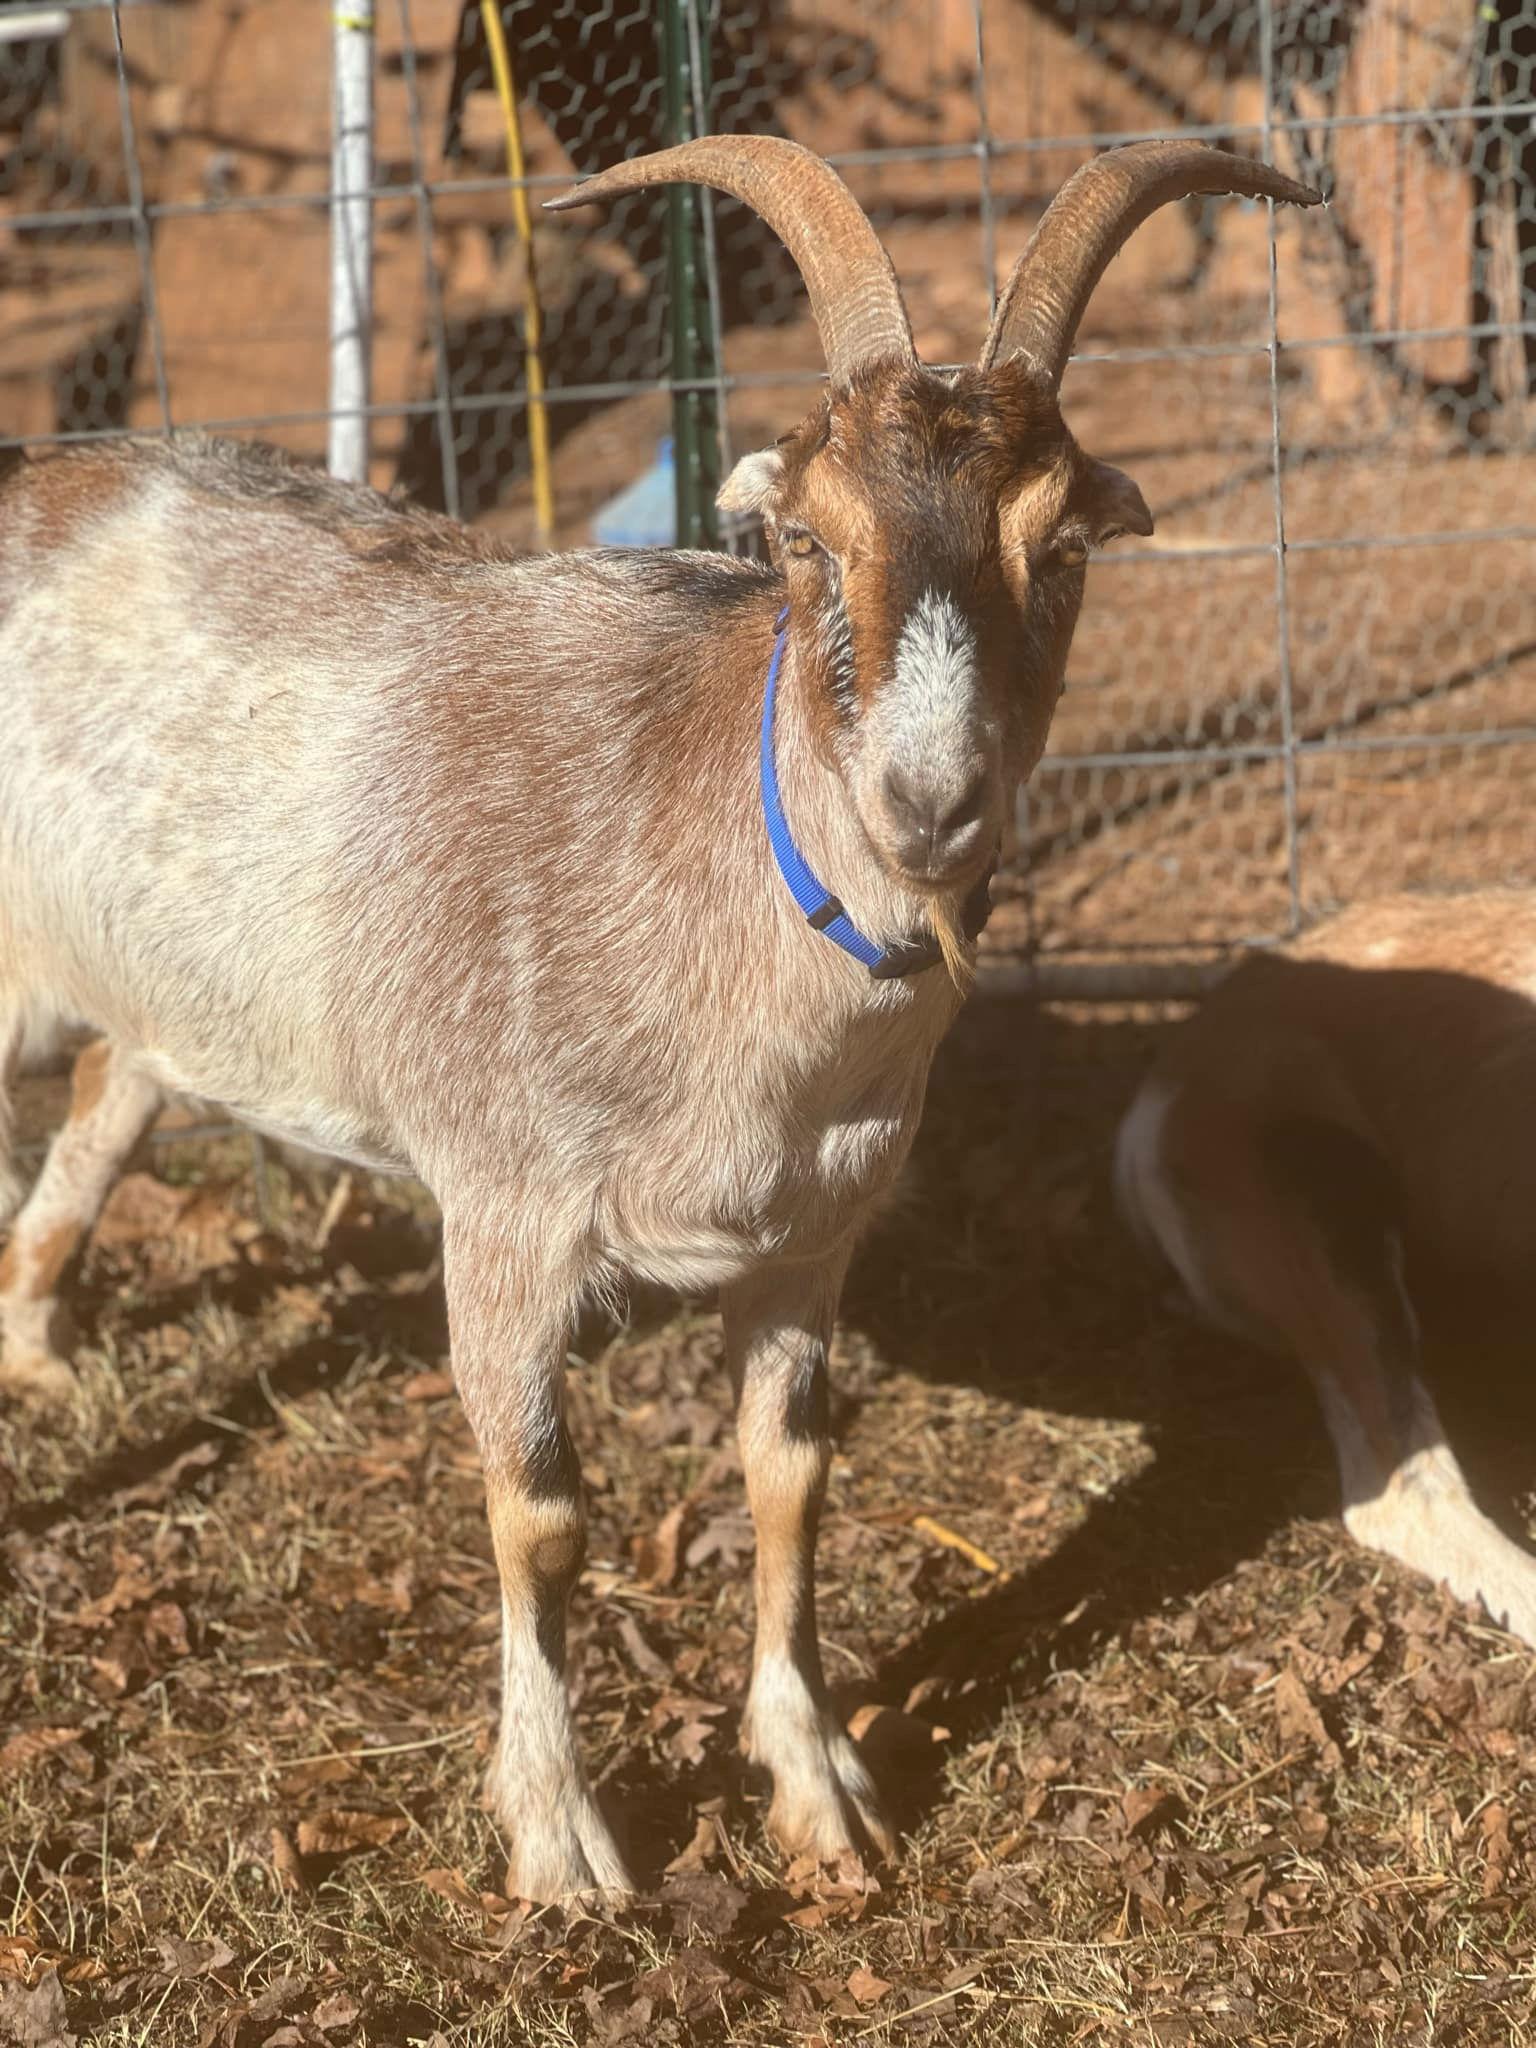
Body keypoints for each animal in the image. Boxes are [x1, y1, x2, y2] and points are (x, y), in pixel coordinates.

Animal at [0, 136, 1318, 1901]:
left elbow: (791, 1480)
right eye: (805, 542)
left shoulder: (811, 1241)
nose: (929, 804)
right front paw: (561, 1837)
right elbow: (542, 1517)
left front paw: (820, 1788)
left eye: (1066, 550)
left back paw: (36, 1346)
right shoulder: (504, 1217)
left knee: (106, 1094)